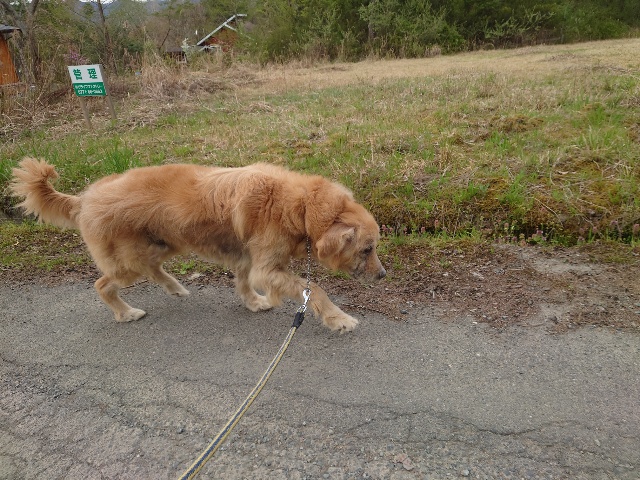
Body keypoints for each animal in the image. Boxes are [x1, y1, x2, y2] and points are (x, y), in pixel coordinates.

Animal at [11, 158, 386, 332]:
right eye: (367, 249)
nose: (383, 276)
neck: (301, 206)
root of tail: (85, 198)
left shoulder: (247, 261)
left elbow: (244, 284)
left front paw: (255, 302)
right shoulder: (265, 268)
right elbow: (316, 290)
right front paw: (339, 318)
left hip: (163, 246)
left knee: (154, 268)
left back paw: (175, 288)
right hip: (128, 262)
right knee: (103, 284)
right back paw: (126, 312)